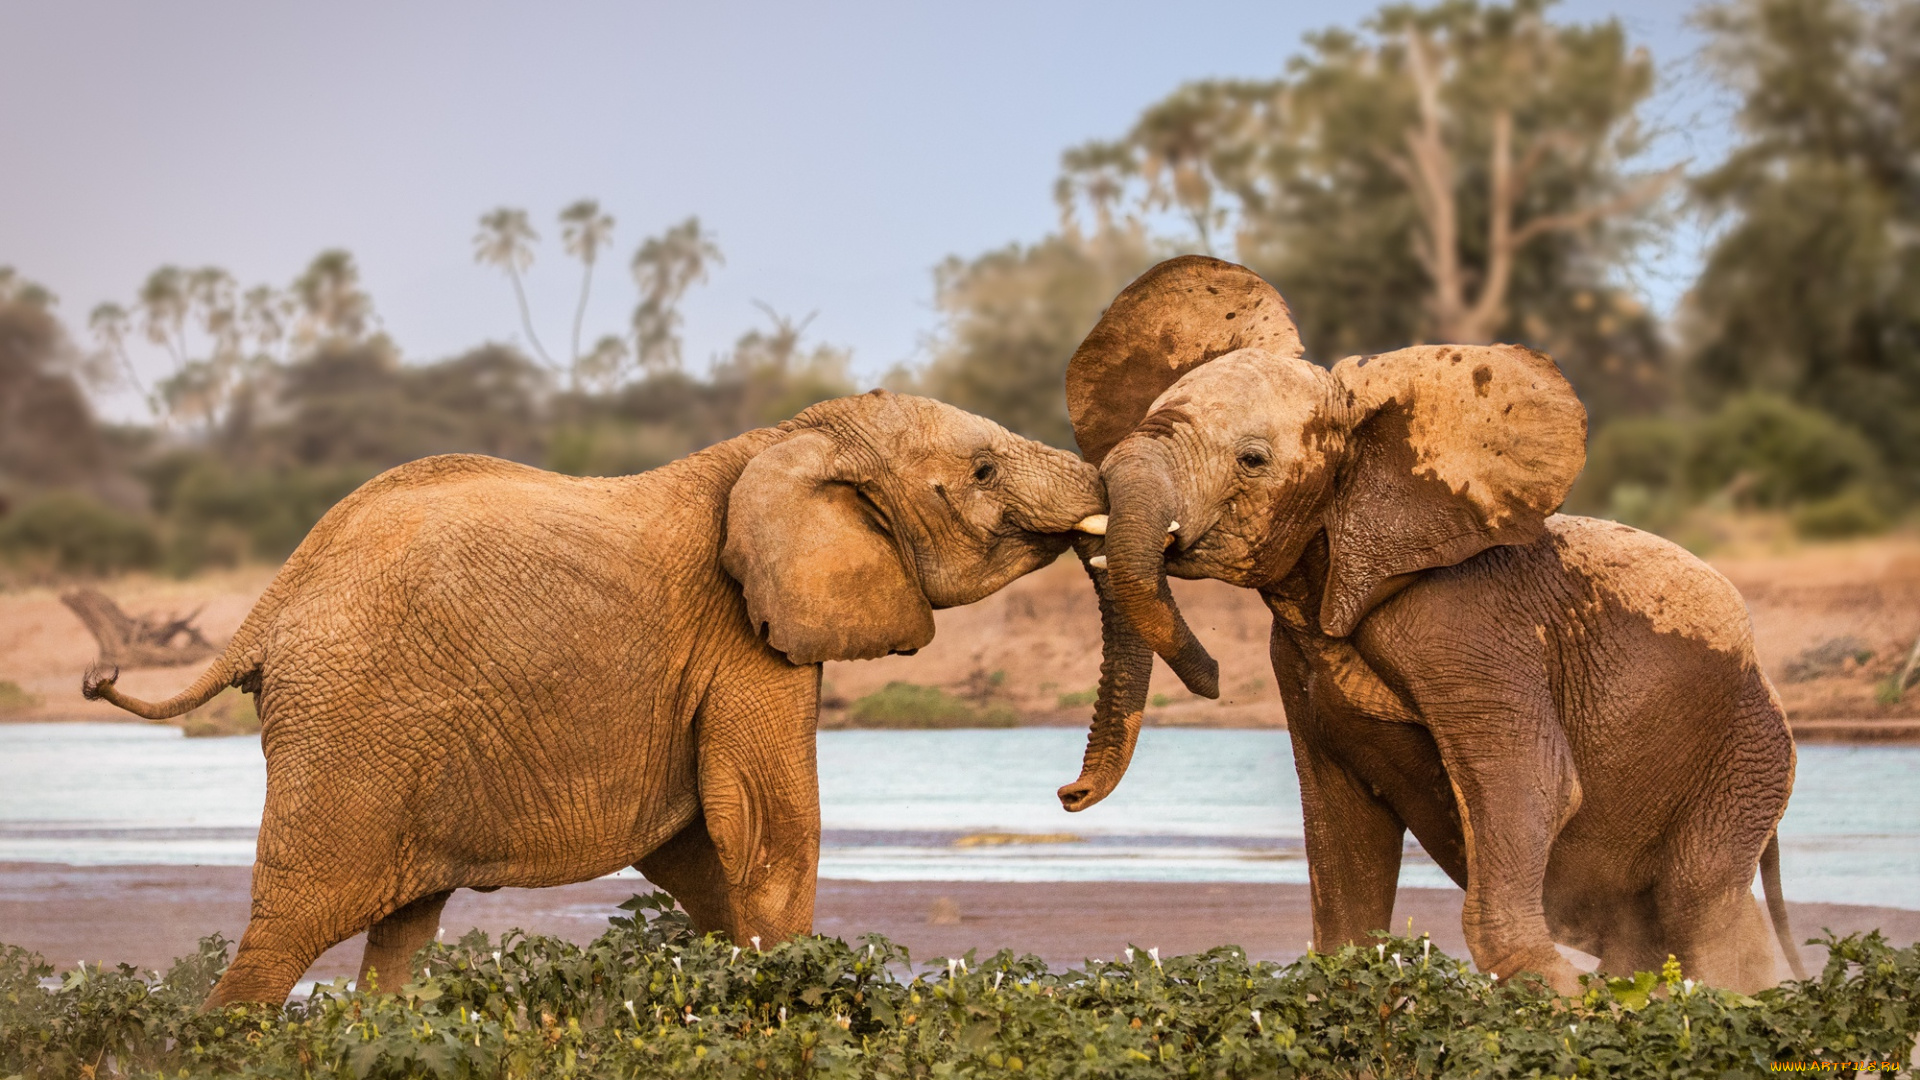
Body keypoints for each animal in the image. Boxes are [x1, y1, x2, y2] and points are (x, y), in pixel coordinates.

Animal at [86, 386, 1113, 999]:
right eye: (981, 471)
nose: (1068, 795)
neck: (794, 434)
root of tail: (267, 606)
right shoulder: (742, 632)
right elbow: (768, 828)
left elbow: (705, 850)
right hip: (348, 731)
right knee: (288, 929)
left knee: (401, 933)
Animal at [1059, 253, 1804, 991]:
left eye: (1252, 460)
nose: (1069, 794)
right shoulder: (1295, 660)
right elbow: (1340, 822)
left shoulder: (1470, 628)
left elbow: (1531, 783)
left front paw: (1570, 1000)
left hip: (1746, 756)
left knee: (1700, 904)